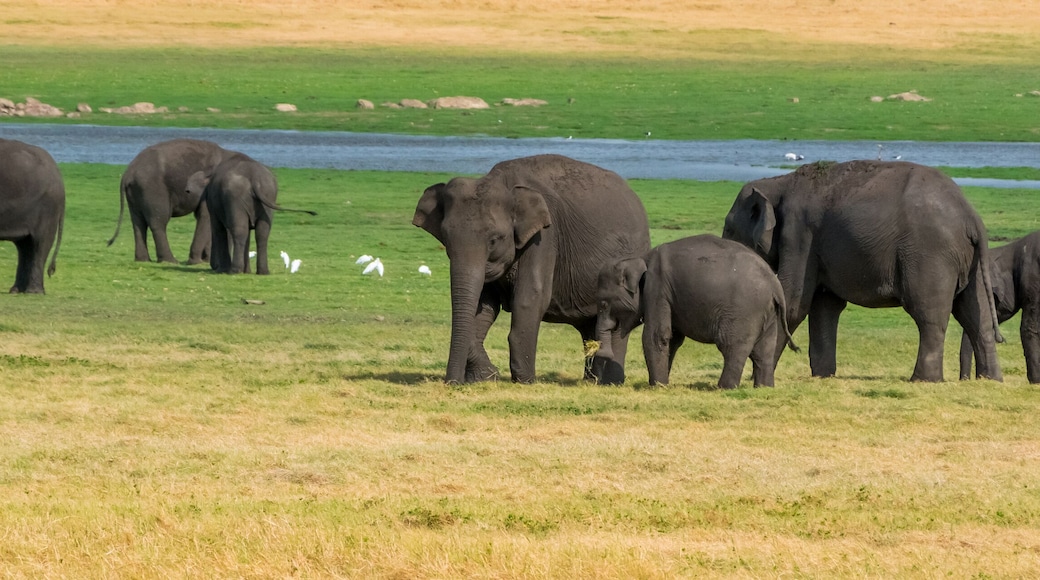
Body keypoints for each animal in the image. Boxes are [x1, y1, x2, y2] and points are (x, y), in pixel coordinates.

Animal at [412, 154, 651, 385]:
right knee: (589, 326)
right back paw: (592, 381)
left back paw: (610, 382)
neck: (502, 182)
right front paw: (484, 377)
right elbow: (484, 305)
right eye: (446, 238)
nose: (452, 383)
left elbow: (530, 297)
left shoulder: (545, 236)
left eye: (494, 240)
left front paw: (524, 380)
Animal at [595, 234, 799, 389]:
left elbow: (656, 335)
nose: (602, 354)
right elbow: (674, 338)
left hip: (745, 312)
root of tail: (775, 285)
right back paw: (764, 387)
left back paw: (724, 387)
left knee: (733, 346)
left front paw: (657, 386)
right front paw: (662, 383)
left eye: (603, 304)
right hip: (769, 313)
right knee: (764, 350)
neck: (641, 259)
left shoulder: (657, 287)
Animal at [722, 160, 1003, 382]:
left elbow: (793, 304)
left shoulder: (799, 233)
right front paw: (823, 376)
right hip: (970, 261)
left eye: (729, 228)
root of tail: (972, 218)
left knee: (929, 315)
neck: (778, 182)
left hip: (930, 255)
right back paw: (990, 380)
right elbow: (825, 305)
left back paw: (923, 380)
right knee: (976, 316)